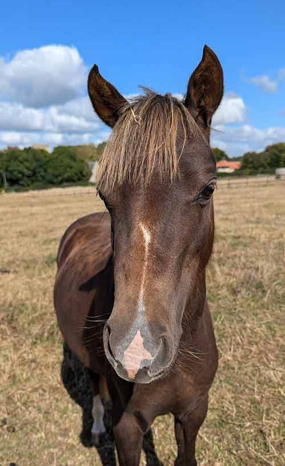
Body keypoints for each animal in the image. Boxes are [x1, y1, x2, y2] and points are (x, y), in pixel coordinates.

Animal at [53, 44, 222, 466]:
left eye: (208, 189)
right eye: (104, 195)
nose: (135, 351)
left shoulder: (194, 411)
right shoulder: (128, 427)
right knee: (95, 384)